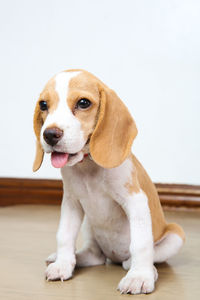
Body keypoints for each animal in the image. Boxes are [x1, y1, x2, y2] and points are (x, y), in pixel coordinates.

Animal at [32, 69, 184, 294]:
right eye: (43, 105)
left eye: (83, 103)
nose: (49, 134)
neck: (88, 166)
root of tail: (113, 257)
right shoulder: (71, 203)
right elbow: (64, 235)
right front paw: (63, 264)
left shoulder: (136, 201)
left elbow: (141, 244)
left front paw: (139, 276)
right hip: (90, 225)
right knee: (94, 256)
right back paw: (68, 258)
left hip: (175, 235)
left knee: (146, 256)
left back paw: (141, 267)